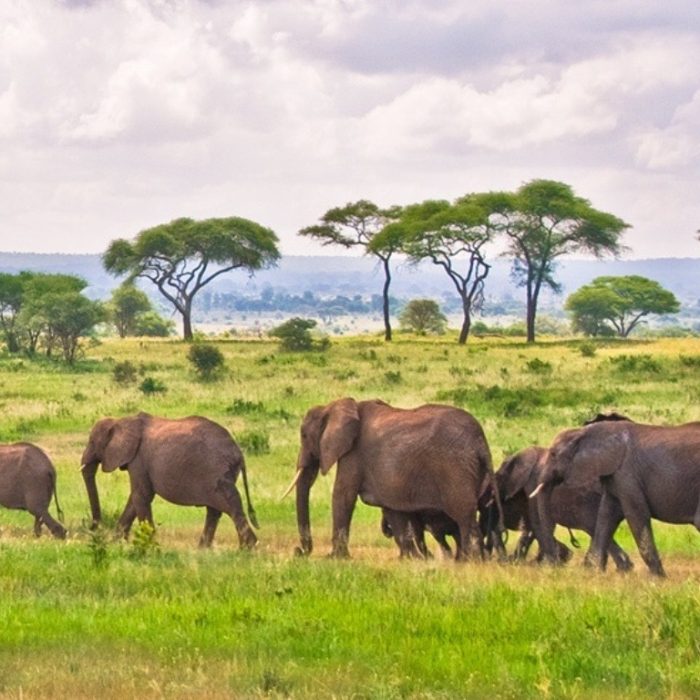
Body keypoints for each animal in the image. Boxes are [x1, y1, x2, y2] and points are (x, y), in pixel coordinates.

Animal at [81, 412, 258, 549]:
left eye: (92, 442)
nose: (93, 528)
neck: (121, 420)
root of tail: (238, 451)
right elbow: (135, 499)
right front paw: (116, 544)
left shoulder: (139, 459)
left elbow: (141, 496)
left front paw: (149, 547)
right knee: (215, 510)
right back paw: (204, 550)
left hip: (217, 471)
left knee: (230, 506)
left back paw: (246, 550)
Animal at [284, 397, 502, 560]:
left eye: (304, 436)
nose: (299, 551)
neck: (337, 406)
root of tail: (480, 441)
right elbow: (393, 510)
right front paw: (411, 559)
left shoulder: (354, 454)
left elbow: (342, 496)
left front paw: (335, 558)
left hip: (456, 470)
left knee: (465, 518)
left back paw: (470, 562)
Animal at [485, 446, 632, 570]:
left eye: (500, 477)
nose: (500, 561)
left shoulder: (533, 483)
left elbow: (536, 522)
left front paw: (548, 563)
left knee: (593, 527)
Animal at [532, 418, 700, 576]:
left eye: (553, 454)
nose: (555, 565)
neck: (583, 432)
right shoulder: (614, 475)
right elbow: (606, 515)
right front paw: (593, 574)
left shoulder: (627, 474)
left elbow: (636, 515)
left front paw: (658, 579)